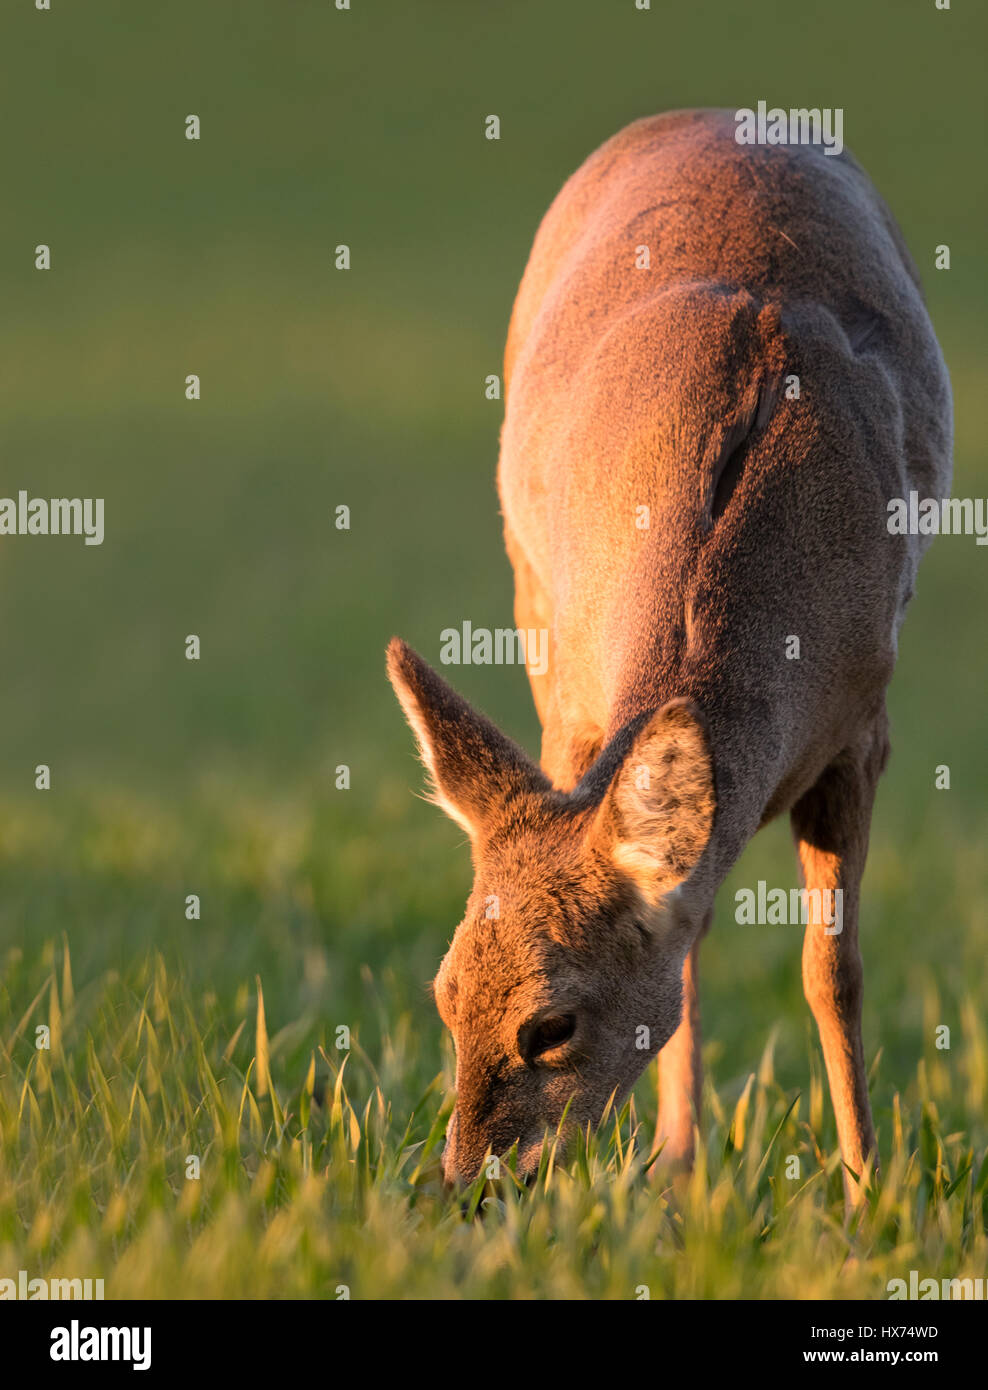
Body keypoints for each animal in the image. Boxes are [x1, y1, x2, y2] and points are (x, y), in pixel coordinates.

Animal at [383, 108, 950, 1206]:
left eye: (550, 1024)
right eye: (443, 995)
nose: (468, 1182)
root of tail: (707, 115)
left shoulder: (865, 724)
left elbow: (834, 972)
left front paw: (869, 1190)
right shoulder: (572, 709)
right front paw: (685, 1172)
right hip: (533, 601)